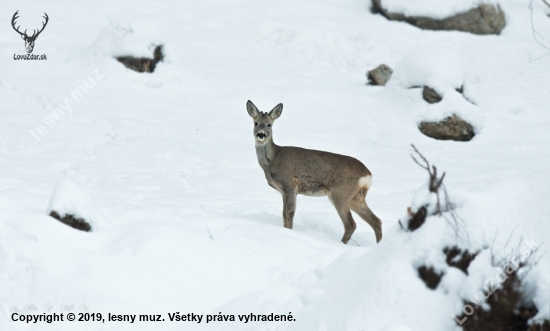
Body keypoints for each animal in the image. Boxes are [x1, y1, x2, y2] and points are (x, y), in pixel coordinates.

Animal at [249, 101, 384, 244]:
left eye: (269, 124)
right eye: (256, 123)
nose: (261, 135)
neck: (273, 158)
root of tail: (368, 175)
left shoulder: (289, 185)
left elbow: (289, 213)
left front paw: (289, 233)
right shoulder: (283, 191)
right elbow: (283, 214)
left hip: (340, 193)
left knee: (351, 224)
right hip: (356, 196)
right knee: (376, 221)